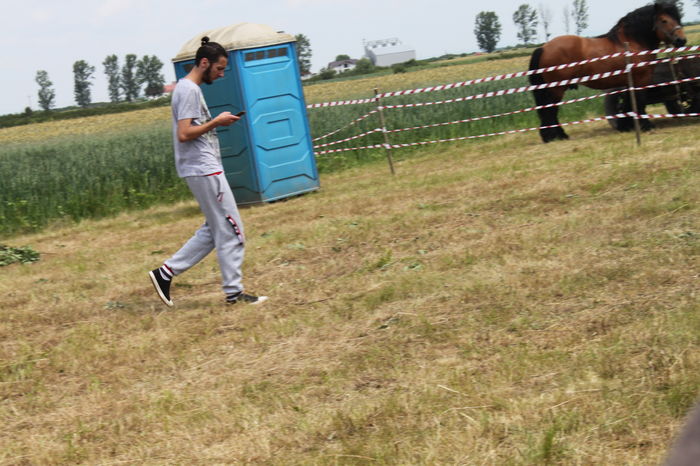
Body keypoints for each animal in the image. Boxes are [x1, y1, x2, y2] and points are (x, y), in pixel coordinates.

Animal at [528, 2, 686, 143]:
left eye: (677, 18)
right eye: (664, 20)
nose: (681, 40)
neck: (632, 42)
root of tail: (543, 48)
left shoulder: (627, 83)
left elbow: (628, 104)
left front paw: (626, 126)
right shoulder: (640, 80)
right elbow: (639, 102)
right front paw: (646, 125)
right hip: (556, 89)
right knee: (551, 110)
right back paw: (556, 136)